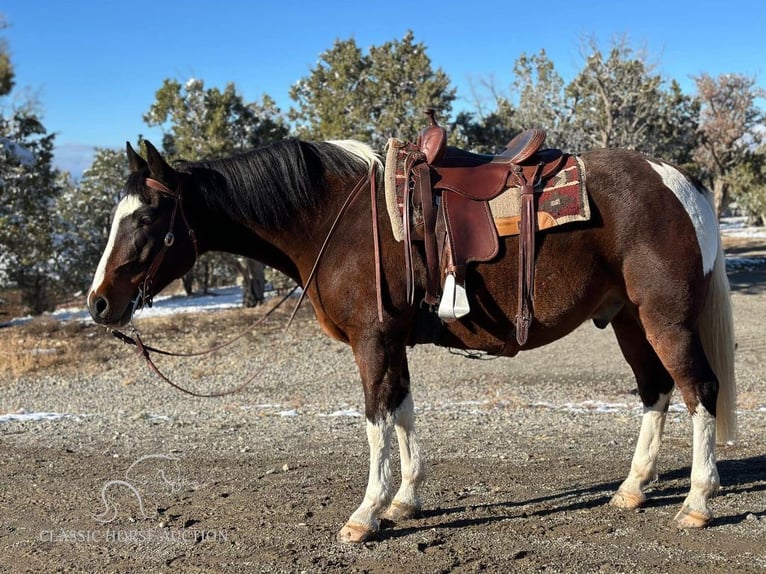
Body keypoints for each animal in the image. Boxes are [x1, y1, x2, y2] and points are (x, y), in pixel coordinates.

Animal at [85, 136, 736, 544]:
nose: (97, 304)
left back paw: (697, 503)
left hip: (665, 319)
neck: (334, 219)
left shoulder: (371, 340)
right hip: (628, 320)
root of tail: (680, 183)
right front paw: (406, 500)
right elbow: (401, 410)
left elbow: (375, 417)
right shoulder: (391, 342)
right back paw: (631, 489)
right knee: (655, 391)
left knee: (699, 389)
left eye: (145, 219)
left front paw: (365, 515)